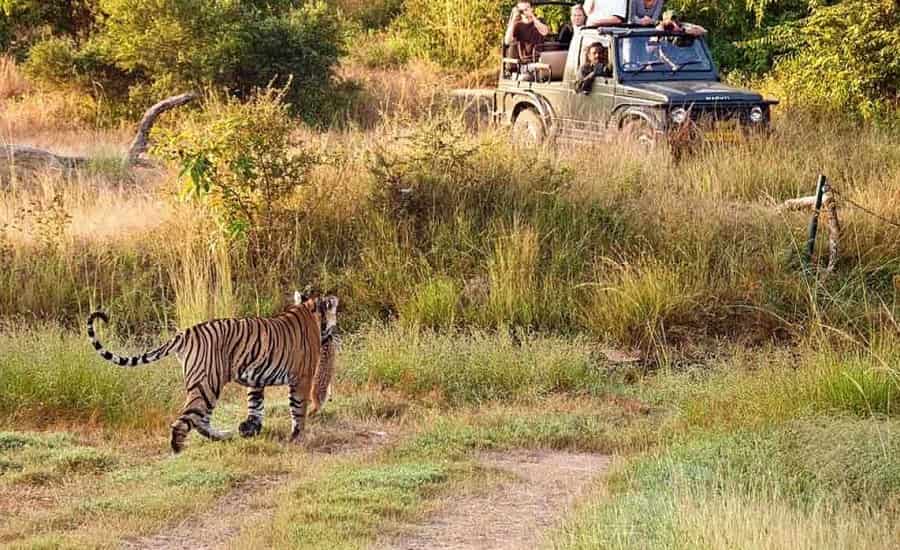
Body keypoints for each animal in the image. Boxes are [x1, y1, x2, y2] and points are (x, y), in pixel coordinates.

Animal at [86, 291, 339, 453]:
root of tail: (185, 333)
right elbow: (298, 409)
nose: (336, 333)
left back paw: (224, 436)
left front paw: (249, 429)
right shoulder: (303, 378)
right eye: (334, 310)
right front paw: (298, 436)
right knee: (186, 421)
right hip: (207, 384)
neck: (309, 312)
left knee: (201, 421)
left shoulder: (256, 377)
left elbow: (255, 406)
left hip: (206, 384)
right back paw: (178, 450)